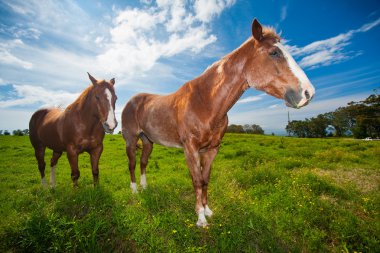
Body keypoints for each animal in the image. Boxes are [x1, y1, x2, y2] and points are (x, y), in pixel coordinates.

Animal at [121, 18, 314, 226]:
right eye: (274, 52)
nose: (308, 93)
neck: (205, 102)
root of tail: (132, 101)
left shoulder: (212, 149)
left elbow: (206, 179)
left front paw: (207, 210)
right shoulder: (190, 149)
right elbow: (197, 181)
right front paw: (200, 218)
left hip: (148, 141)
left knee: (143, 163)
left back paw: (145, 188)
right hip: (131, 140)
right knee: (132, 164)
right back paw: (135, 191)